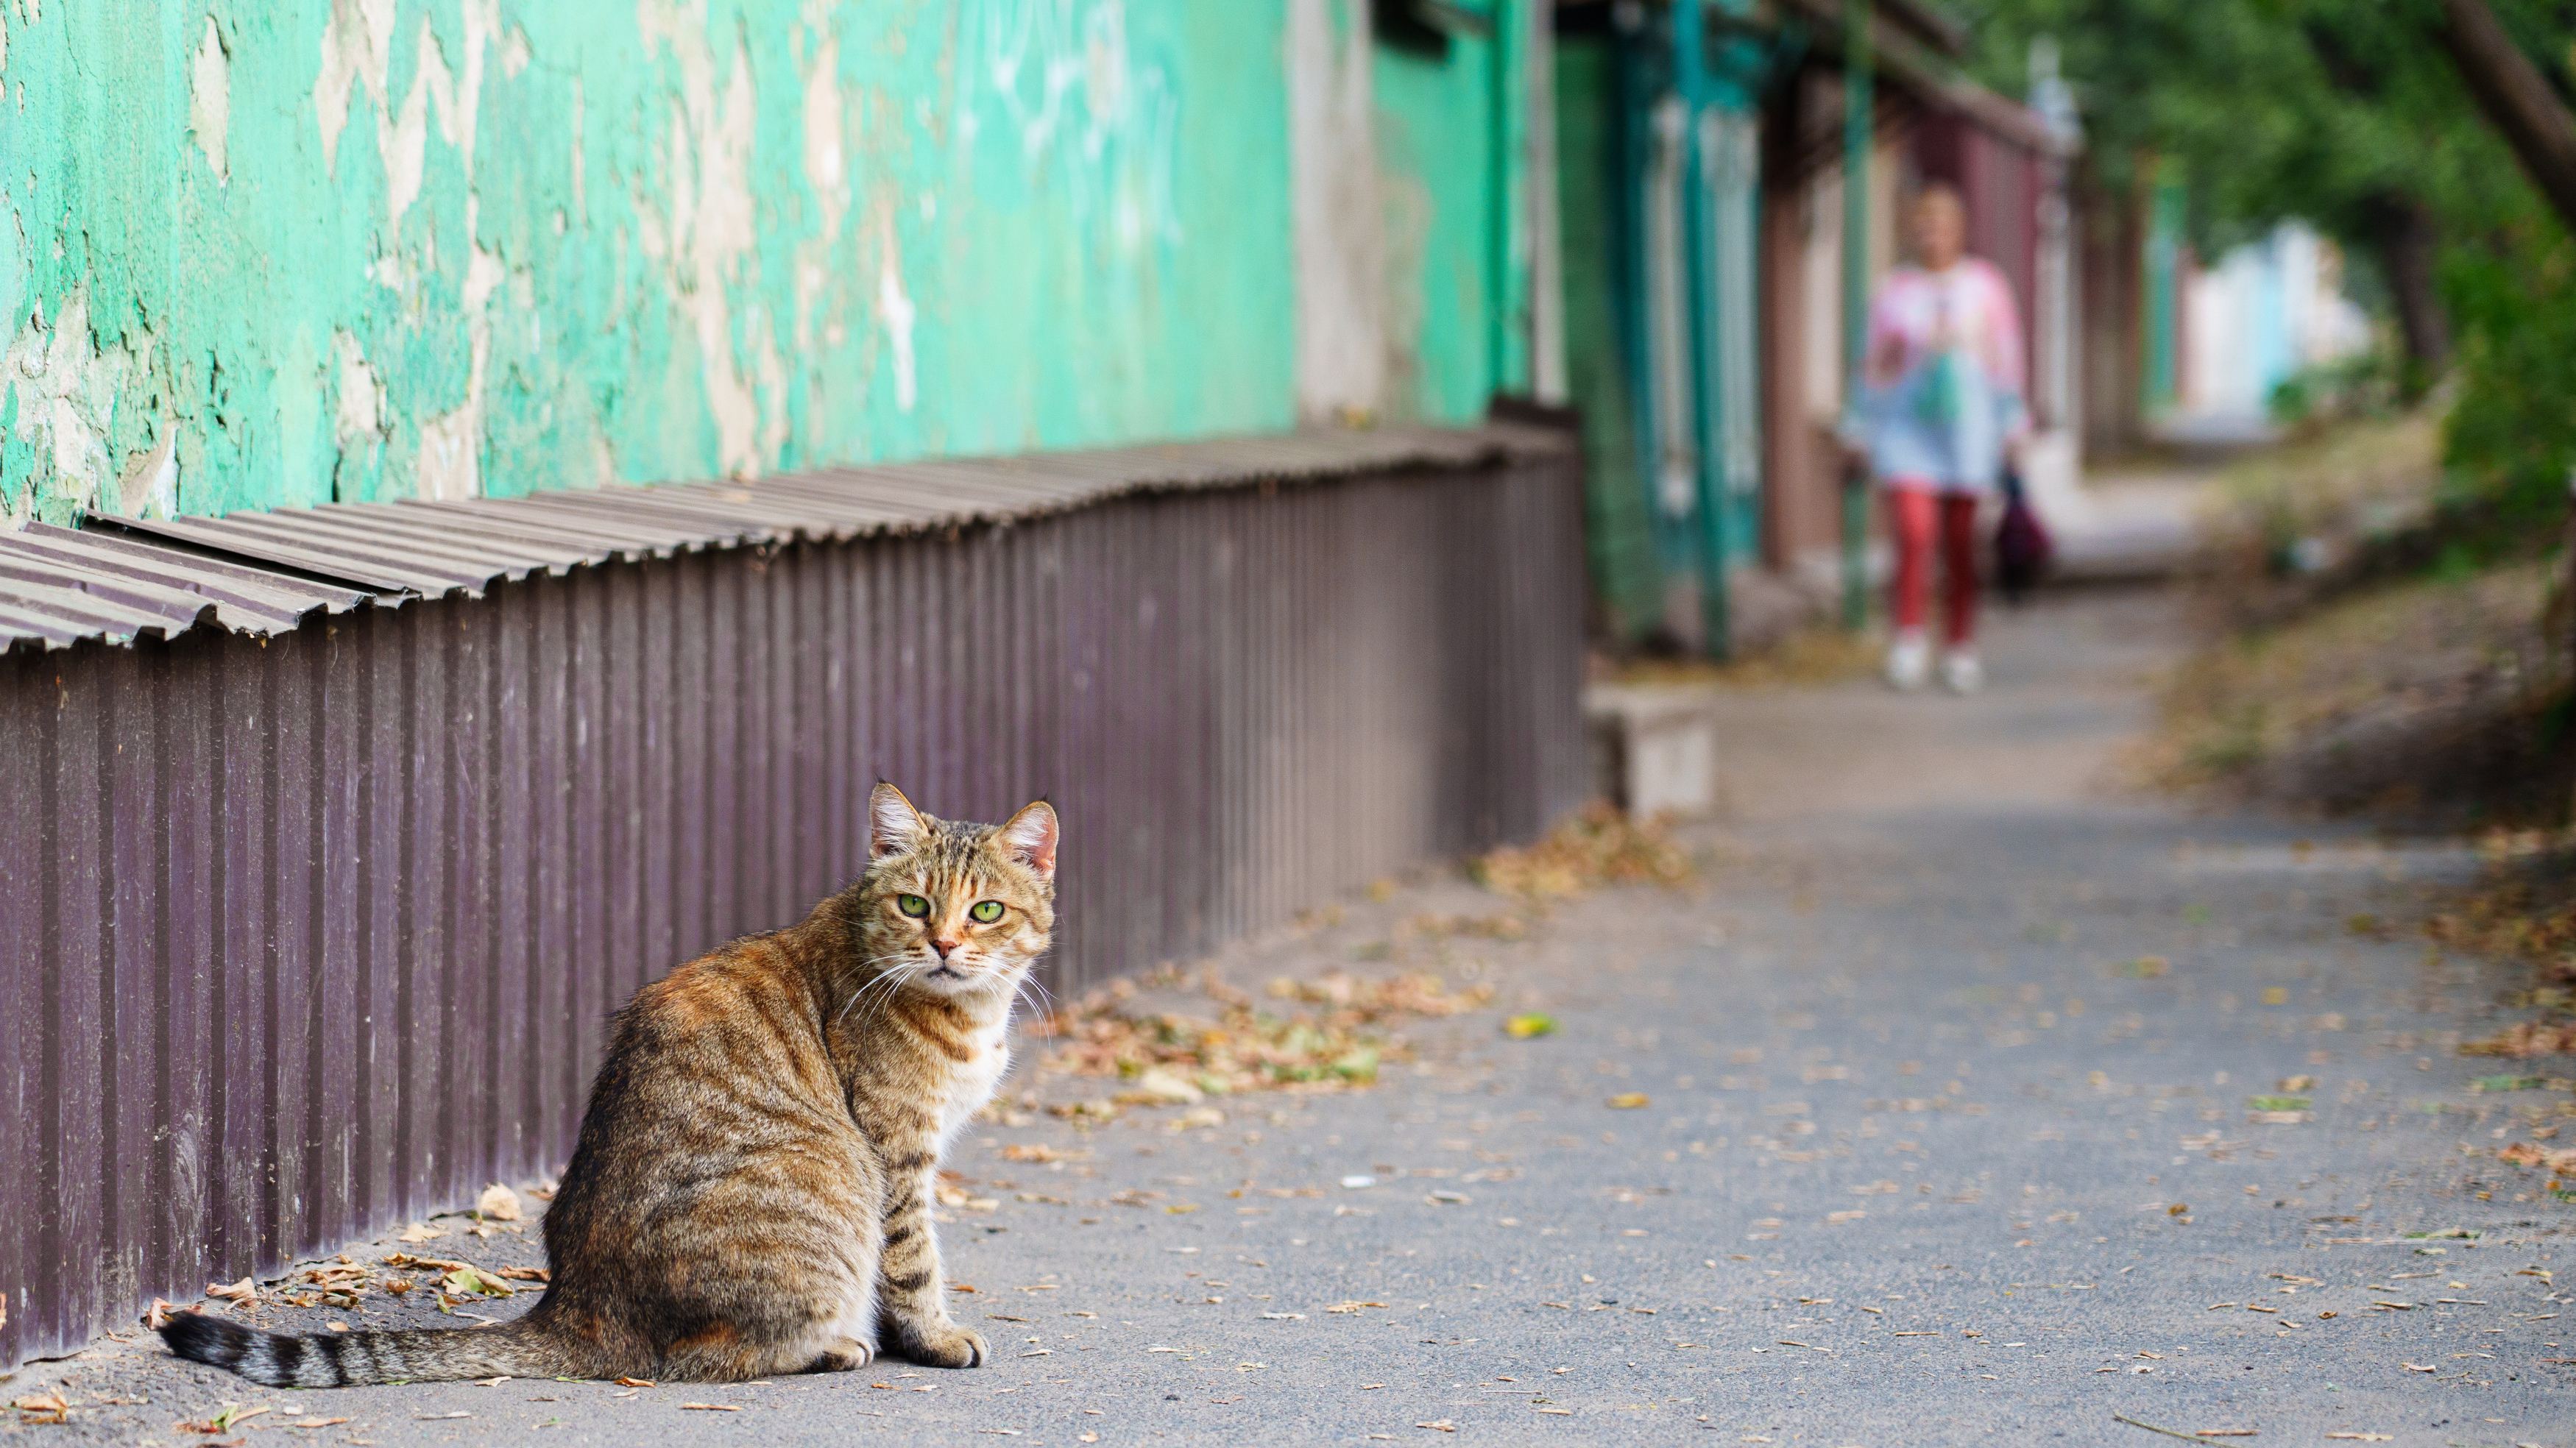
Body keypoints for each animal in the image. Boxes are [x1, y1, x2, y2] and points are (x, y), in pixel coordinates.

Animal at [163, 783, 1056, 1380]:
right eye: (914, 904)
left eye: (985, 912)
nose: (943, 943)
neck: (966, 1010)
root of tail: (572, 1307)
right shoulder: (894, 1152)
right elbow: (914, 1261)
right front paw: (933, 1338)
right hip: (829, 1174)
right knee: (707, 1354)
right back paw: (834, 1345)